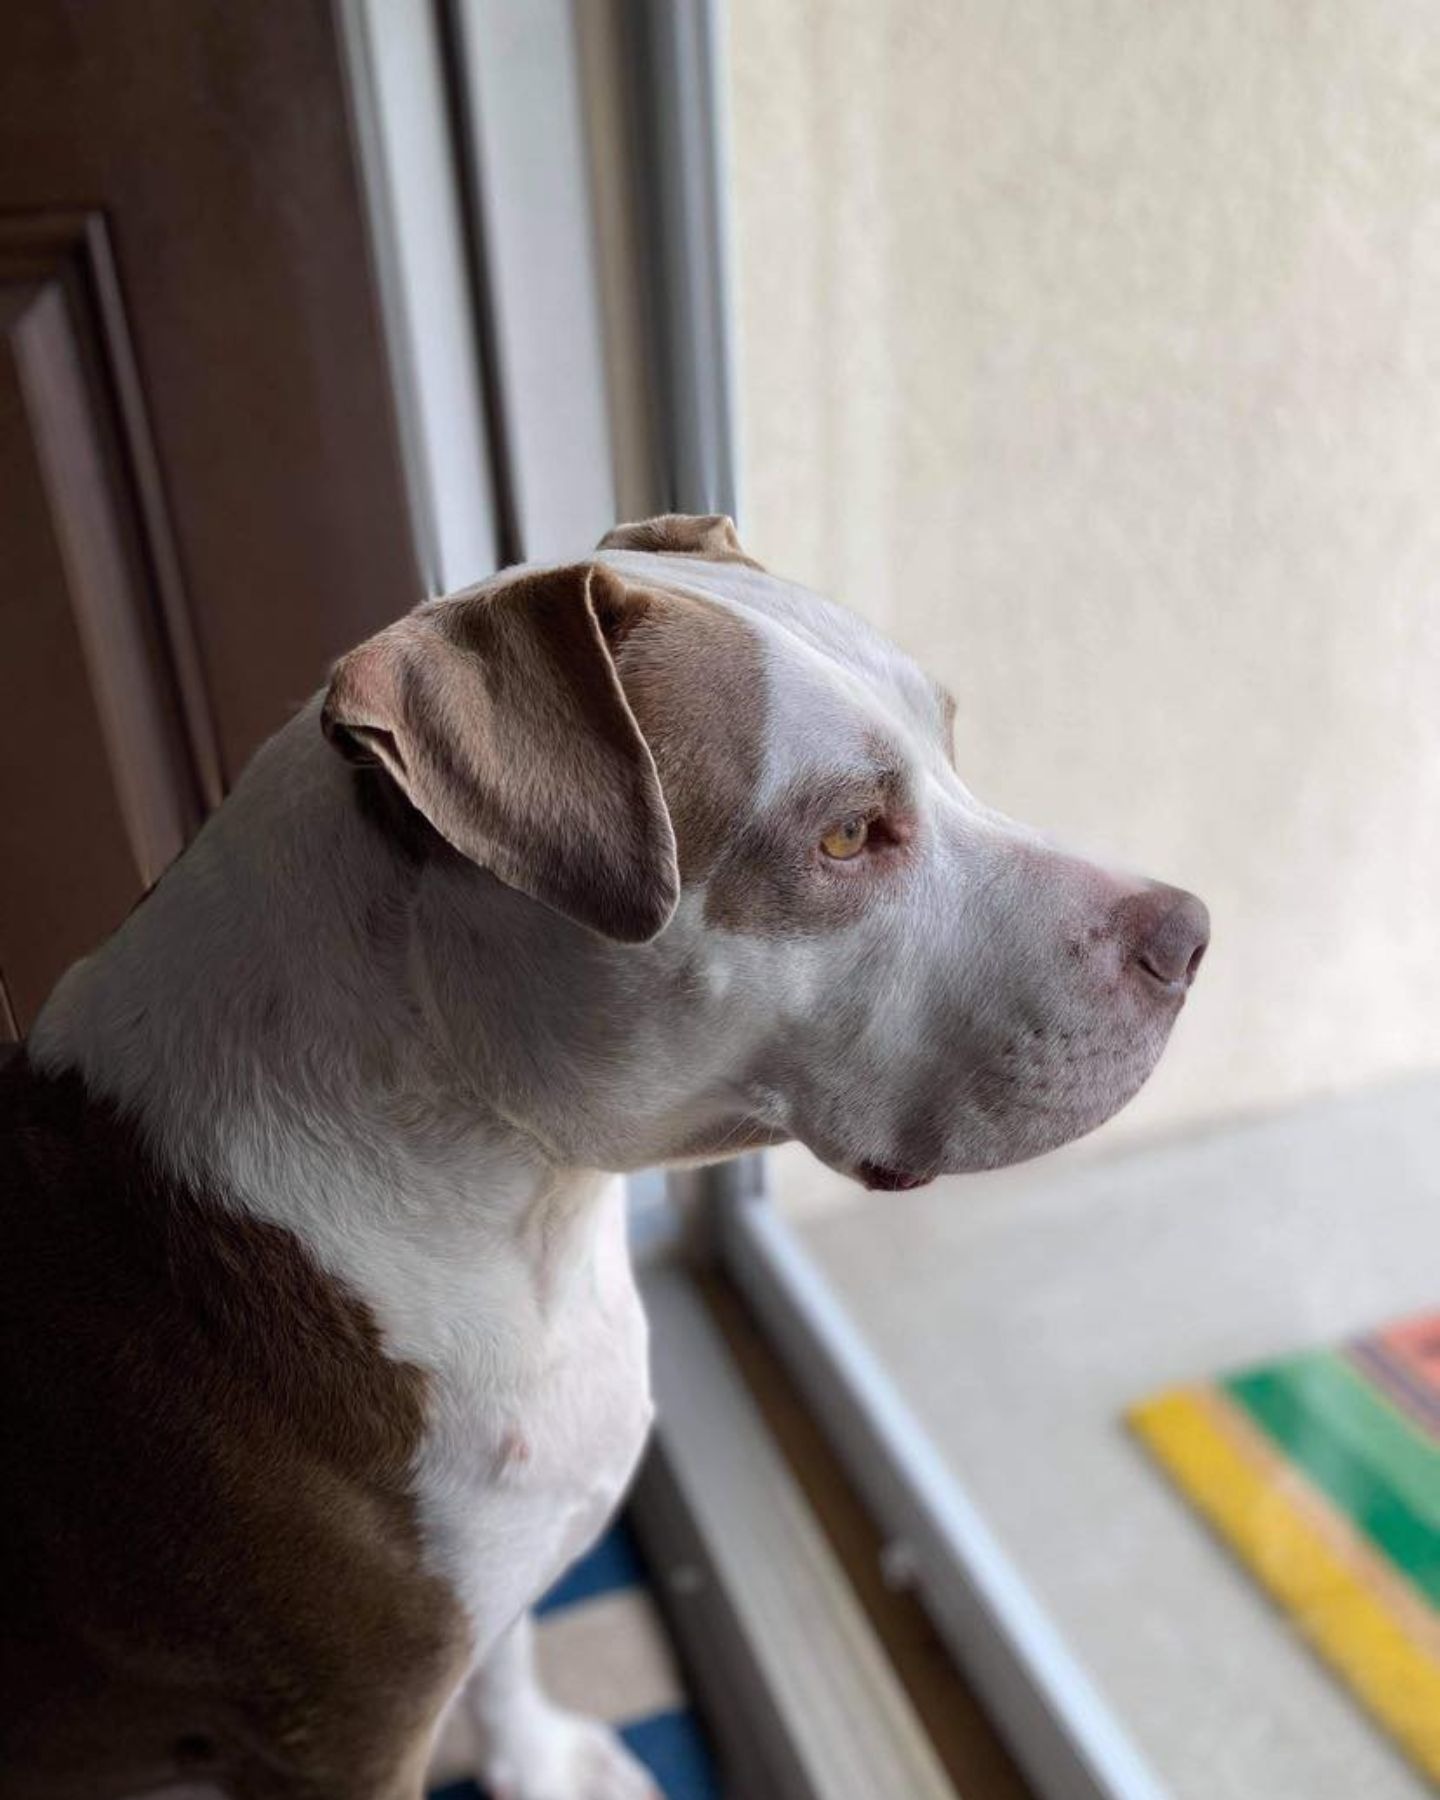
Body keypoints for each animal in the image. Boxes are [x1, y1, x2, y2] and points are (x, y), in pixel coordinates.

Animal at [0, 514, 1209, 1792]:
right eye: (844, 834)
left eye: (950, 745)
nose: (1189, 934)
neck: (520, 1196)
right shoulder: (349, 1737)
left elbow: (511, 1657)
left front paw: (538, 1762)